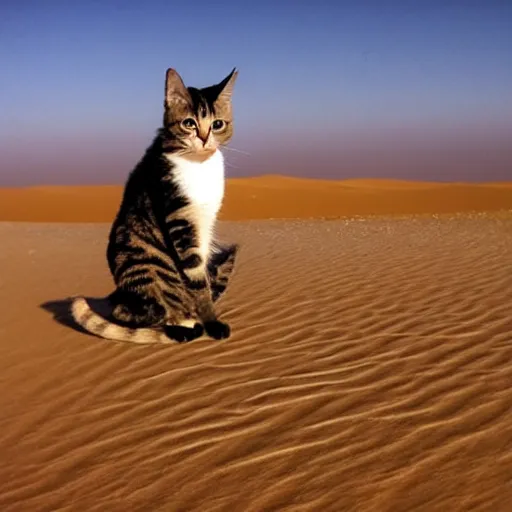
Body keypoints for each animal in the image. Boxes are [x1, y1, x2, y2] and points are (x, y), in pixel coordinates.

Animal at [70, 66, 240, 342]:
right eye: (189, 123)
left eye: (217, 124)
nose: (205, 138)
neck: (199, 165)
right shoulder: (179, 220)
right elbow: (197, 281)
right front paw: (212, 321)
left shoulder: (206, 224)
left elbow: (204, 273)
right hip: (146, 268)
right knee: (139, 311)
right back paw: (182, 328)